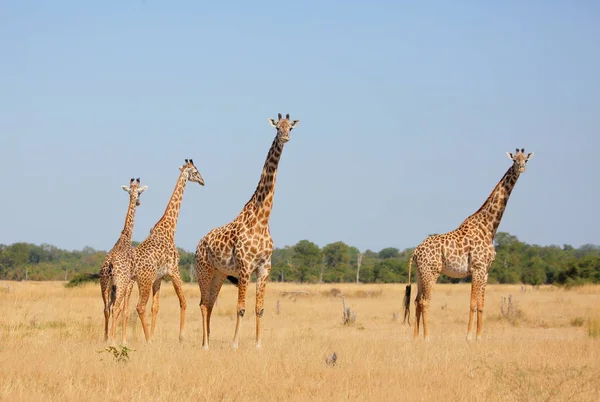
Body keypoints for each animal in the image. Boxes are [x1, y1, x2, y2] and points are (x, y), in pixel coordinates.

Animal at [99, 177, 148, 344]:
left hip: (104, 284)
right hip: (120, 284)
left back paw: (106, 338)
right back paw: (113, 340)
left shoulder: (115, 286)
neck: (126, 236)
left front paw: (111, 337)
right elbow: (125, 310)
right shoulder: (130, 281)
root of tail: (110, 265)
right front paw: (124, 340)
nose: (139, 202)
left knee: (106, 308)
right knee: (116, 308)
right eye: (140, 192)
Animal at [130, 159, 205, 340]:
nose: (203, 181)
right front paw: (181, 336)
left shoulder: (159, 277)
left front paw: (154, 335)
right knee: (139, 306)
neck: (169, 228)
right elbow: (183, 302)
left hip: (135, 282)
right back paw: (147, 340)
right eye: (195, 171)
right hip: (145, 281)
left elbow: (155, 307)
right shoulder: (174, 270)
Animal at [196, 113, 300, 348]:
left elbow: (259, 308)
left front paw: (258, 344)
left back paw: (209, 340)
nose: (285, 138)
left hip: (219, 274)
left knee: (210, 303)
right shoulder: (244, 267)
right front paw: (235, 344)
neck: (261, 219)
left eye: (290, 127)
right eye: (277, 128)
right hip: (204, 270)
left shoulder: (264, 268)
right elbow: (241, 308)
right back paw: (205, 344)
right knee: (203, 304)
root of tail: (198, 244)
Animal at [404, 149, 536, 340]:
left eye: (525, 160)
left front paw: (479, 337)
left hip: (420, 274)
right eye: (514, 160)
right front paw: (468, 337)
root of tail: (415, 251)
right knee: (425, 301)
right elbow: (472, 304)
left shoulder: (486, 270)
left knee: (416, 301)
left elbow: (481, 305)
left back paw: (416, 338)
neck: (489, 227)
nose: (522, 168)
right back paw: (427, 338)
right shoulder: (477, 268)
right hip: (431, 272)